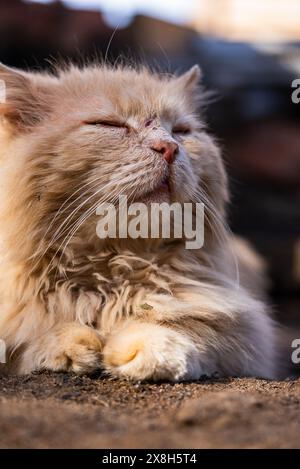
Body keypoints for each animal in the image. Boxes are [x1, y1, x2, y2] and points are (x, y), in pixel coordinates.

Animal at [0, 61, 276, 380]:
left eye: (181, 131)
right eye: (108, 124)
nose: (168, 148)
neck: (111, 274)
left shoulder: (242, 327)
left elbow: (190, 326)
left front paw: (150, 350)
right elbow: (30, 337)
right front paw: (69, 346)